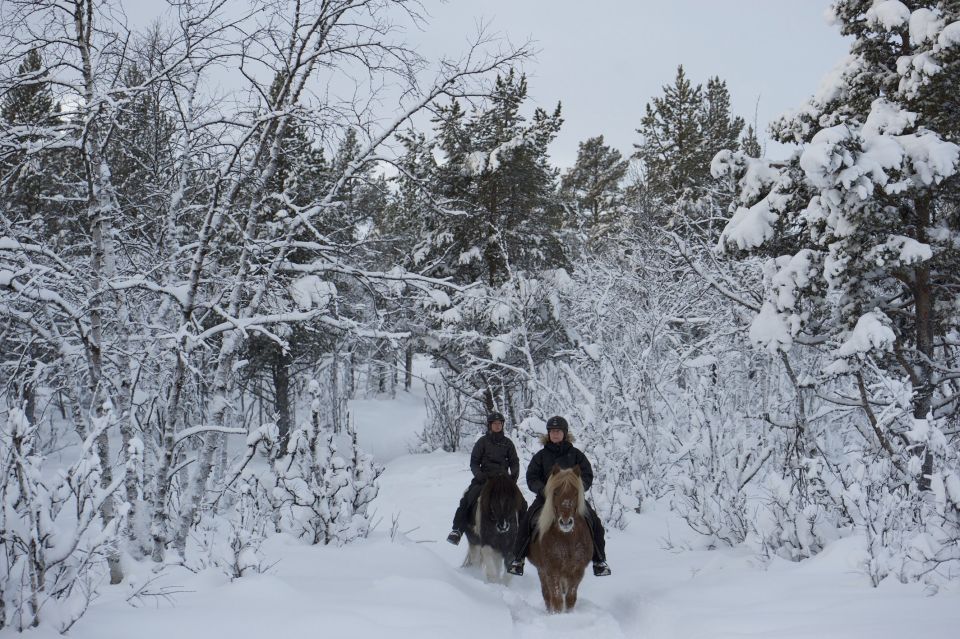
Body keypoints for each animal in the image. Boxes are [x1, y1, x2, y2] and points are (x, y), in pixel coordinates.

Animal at [524, 468, 592, 612]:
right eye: (555, 492)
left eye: (576, 492)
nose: (565, 522)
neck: (567, 539)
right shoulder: (551, 570)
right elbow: (556, 599)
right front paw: (557, 615)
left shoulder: (578, 570)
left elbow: (570, 598)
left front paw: (569, 614)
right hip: (542, 571)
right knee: (546, 594)